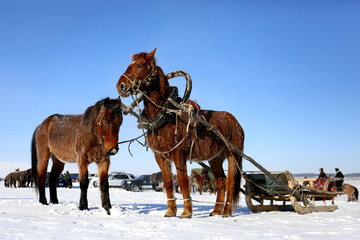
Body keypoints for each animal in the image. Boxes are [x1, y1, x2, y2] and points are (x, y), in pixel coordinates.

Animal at [116, 48, 245, 218]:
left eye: (140, 65)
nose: (120, 86)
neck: (166, 113)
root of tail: (235, 122)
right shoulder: (160, 156)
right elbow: (168, 182)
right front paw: (171, 211)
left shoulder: (179, 154)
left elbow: (183, 182)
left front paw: (187, 212)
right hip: (215, 159)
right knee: (221, 181)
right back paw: (216, 210)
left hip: (232, 154)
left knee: (230, 181)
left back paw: (227, 211)